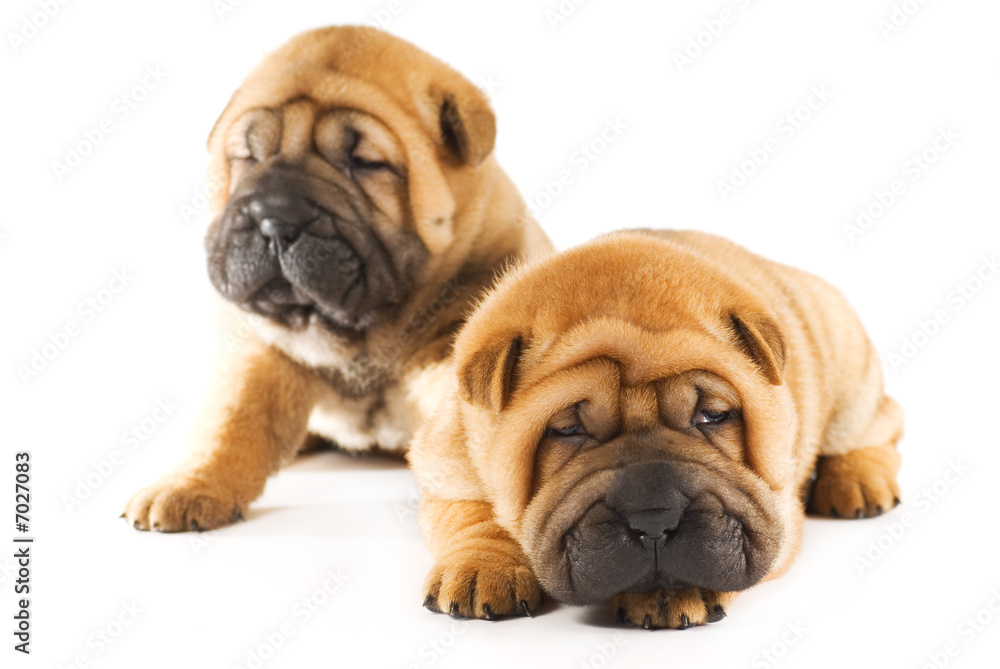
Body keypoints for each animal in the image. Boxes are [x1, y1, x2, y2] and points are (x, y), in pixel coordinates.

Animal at [123, 26, 556, 532]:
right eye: (248, 156)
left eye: (366, 163)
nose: (275, 219)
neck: (364, 329)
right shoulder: (263, 347)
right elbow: (232, 418)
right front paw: (189, 485)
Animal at [410, 228, 904, 628]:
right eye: (568, 429)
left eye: (713, 416)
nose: (655, 519)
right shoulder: (447, 460)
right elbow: (474, 513)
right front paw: (482, 567)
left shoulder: (775, 507)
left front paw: (674, 588)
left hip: (849, 376)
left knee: (880, 427)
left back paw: (859, 480)